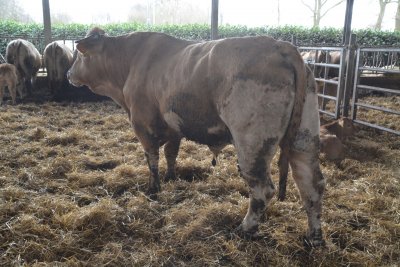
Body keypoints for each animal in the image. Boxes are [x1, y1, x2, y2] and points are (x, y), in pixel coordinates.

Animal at [67, 27, 326, 247]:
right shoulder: (174, 129)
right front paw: (171, 177)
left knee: (263, 189)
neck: (130, 63)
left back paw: (245, 228)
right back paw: (314, 237)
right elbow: (170, 153)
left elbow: (152, 159)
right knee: (311, 185)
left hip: (253, 143)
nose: (69, 73)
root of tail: (282, 46)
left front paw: (154, 189)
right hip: (304, 137)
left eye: (79, 56)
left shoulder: (143, 125)